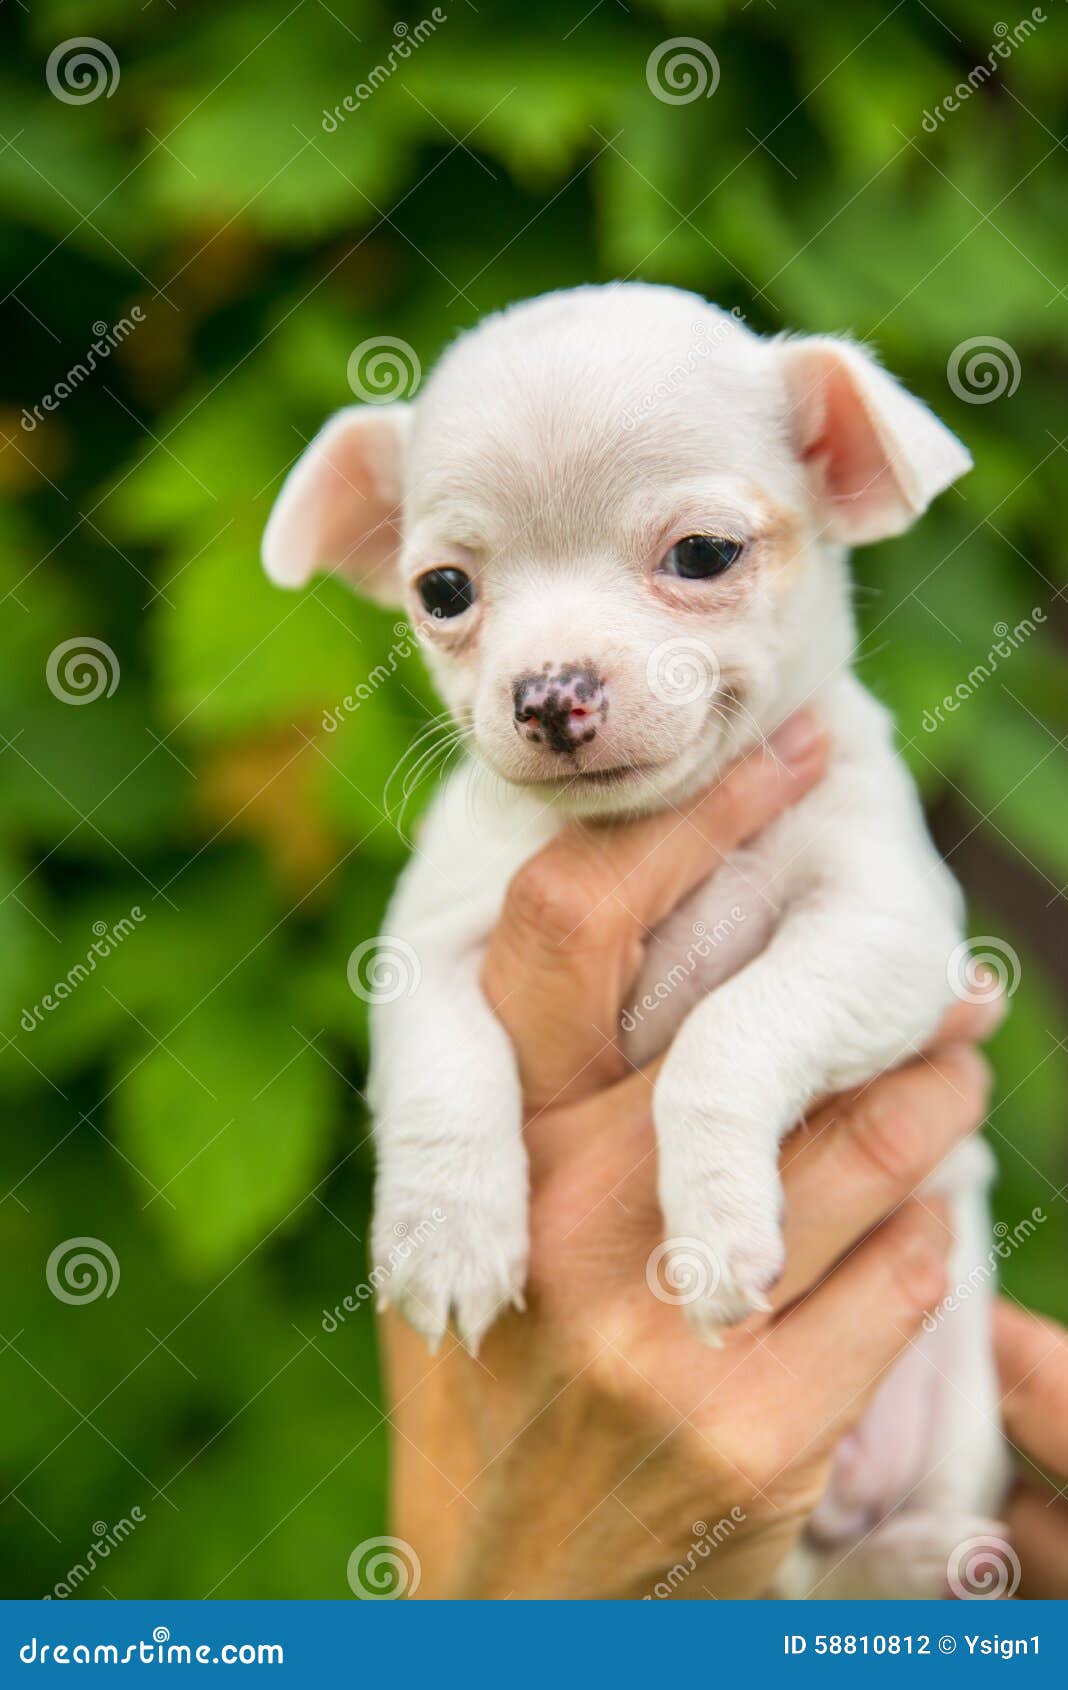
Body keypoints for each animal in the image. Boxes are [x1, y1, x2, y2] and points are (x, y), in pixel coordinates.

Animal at [265, 287, 1007, 1595]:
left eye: (703, 555)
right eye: (444, 591)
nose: (551, 693)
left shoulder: (887, 932)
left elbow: (726, 1032)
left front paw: (711, 1227)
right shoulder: (425, 943)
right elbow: (442, 1068)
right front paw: (447, 1234)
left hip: (957, 1410)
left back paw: (931, 1555)